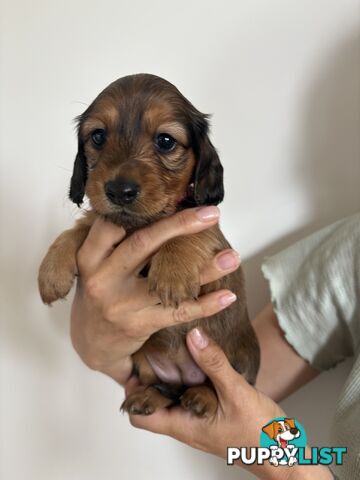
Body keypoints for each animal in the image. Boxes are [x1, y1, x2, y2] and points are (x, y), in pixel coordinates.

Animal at [38, 73, 260, 418]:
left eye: (166, 141)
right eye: (98, 136)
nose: (119, 190)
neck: (138, 226)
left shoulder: (207, 227)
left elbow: (189, 232)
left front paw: (171, 273)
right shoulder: (102, 222)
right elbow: (77, 229)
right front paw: (51, 273)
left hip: (239, 357)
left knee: (216, 385)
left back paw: (202, 398)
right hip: (145, 363)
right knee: (166, 389)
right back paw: (148, 398)